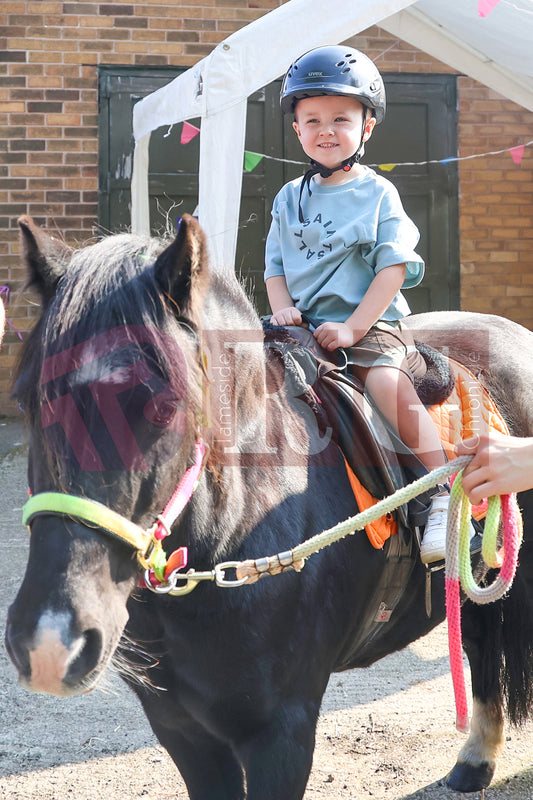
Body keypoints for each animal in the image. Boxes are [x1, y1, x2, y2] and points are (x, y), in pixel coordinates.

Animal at [6, 216, 532, 796]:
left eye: (164, 406)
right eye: (28, 400)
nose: (51, 640)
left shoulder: (282, 729)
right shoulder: (180, 729)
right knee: (481, 639)